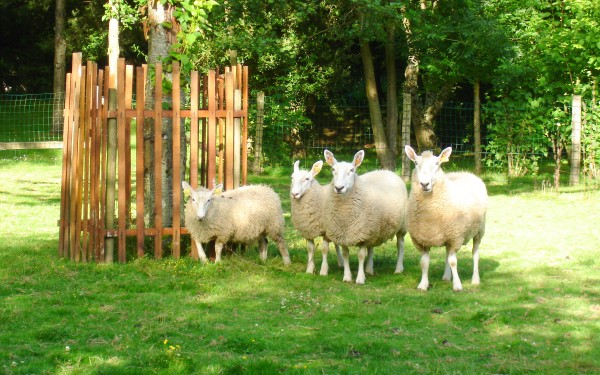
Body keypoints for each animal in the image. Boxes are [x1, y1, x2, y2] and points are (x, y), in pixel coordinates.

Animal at [324, 150, 408, 284]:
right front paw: (347, 276)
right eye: (333, 169)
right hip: (374, 229)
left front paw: (360, 278)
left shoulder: (363, 234)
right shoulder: (344, 234)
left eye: (352, 170)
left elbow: (361, 256)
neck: (345, 214)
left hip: (401, 226)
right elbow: (346, 254)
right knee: (371, 247)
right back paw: (369, 268)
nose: (339, 188)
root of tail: (386, 171)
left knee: (400, 245)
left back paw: (398, 268)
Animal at [404, 145, 488, 292]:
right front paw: (423, 285)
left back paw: (475, 279)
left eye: (437, 163)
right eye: (416, 163)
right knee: (447, 254)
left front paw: (457, 286)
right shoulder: (421, 240)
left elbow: (453, 262)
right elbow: (424, 263)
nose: (424, 184)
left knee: (475, 253)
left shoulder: (456, 238)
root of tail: (466, 173)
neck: (429, 216)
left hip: (479, 230)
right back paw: (447, 277)